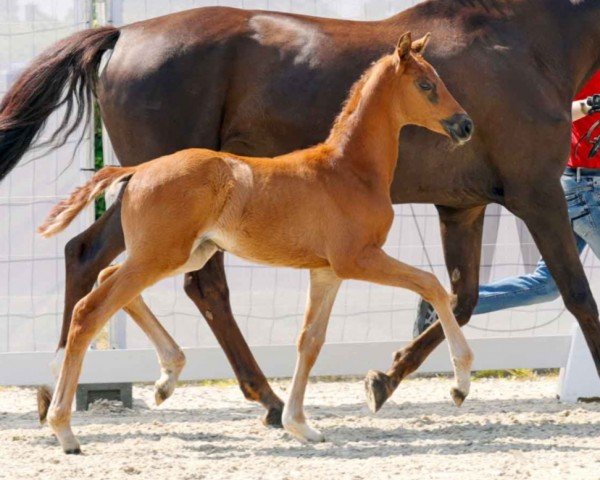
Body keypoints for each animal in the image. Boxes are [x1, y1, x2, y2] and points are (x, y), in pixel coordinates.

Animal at [41, 31, 474, 452]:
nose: (465, 124)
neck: (348, 170)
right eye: (426, 84)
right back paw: (64, 429)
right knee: (90, 309)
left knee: (109, 280)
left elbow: (310, 341)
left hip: (185, 254)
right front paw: (460, 384)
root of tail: (137, 170)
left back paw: (166, 379)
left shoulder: (327, 272)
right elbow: (433, 285)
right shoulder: (358, 259)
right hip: (160, 256)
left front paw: (301, 426)